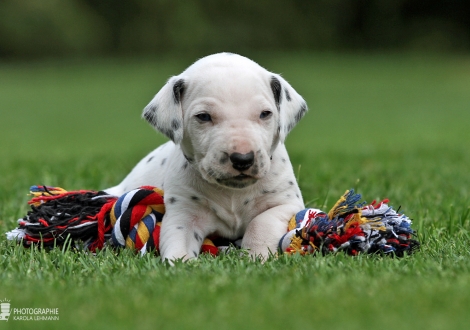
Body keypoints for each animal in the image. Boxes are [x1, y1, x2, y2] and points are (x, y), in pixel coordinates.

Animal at [104, 52, 306, 262]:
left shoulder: (285, 203)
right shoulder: (183, 214)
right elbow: (178, 241)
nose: (242, 159)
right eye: (203, 116)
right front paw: (179, 262)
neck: (232, 192)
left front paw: (257, 256)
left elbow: (261, 223)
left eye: (265, 114)